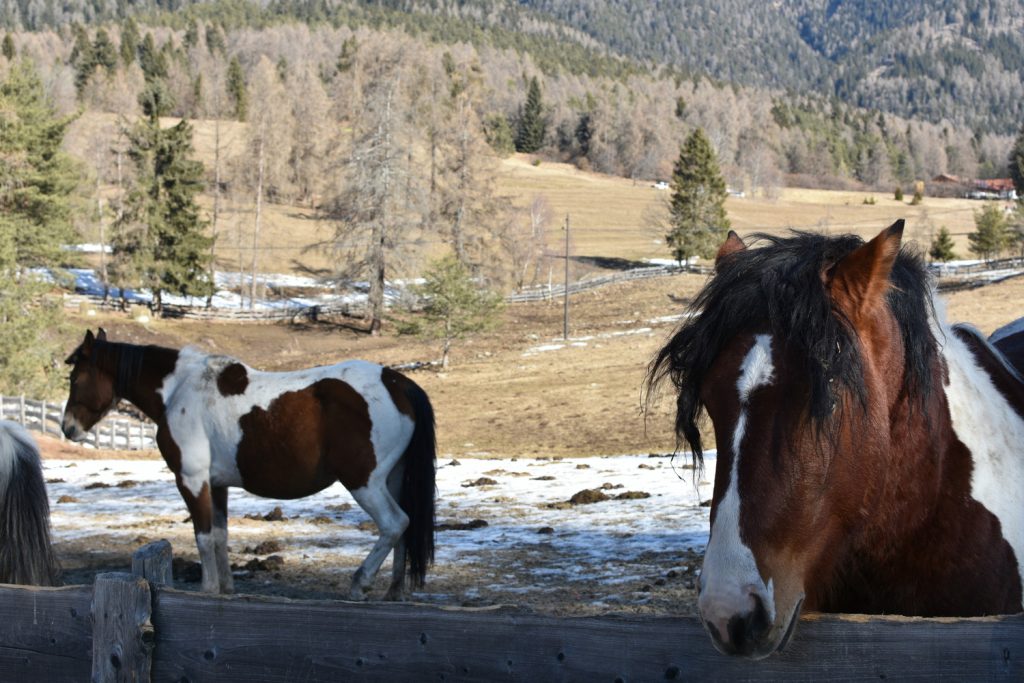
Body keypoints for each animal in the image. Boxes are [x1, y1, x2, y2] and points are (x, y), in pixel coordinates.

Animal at [61, 330, 436, 599]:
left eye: (75, 379)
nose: (68, 428)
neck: (179, 391)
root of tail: (397, 383)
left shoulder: (192, 481)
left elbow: (203, 536)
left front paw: (208, 589)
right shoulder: (218, 485)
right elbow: (220, 535)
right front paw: (226, 589)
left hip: (364, 482)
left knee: (395, 523)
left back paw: (360, 583)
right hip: (392, 480)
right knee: (404, 529)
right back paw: (393, 592)